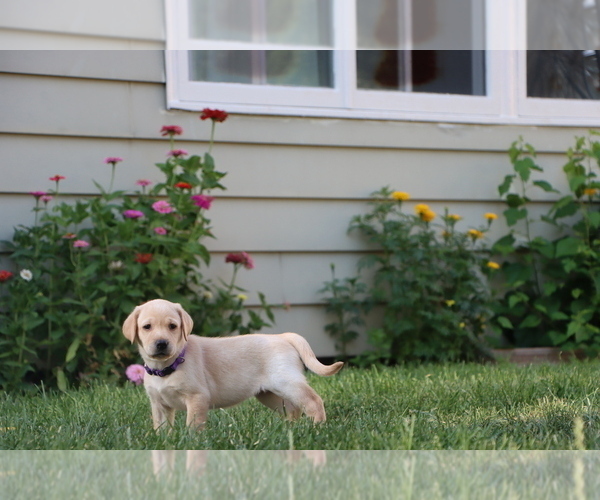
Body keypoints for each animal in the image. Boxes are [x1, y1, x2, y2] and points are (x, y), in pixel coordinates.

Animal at [122, 296, 344, 430]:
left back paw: (317, 427)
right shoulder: (159, 404)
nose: (161, 343)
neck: (167, 367)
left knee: (313, 401)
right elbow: (161, 428)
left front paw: (191, 442)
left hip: (287, 381)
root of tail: (283, 336)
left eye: (172, 326)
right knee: (292, 408)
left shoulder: (197, 397)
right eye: (147, 327)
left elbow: (193, 425)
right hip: (268, 393)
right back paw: (289, 429)